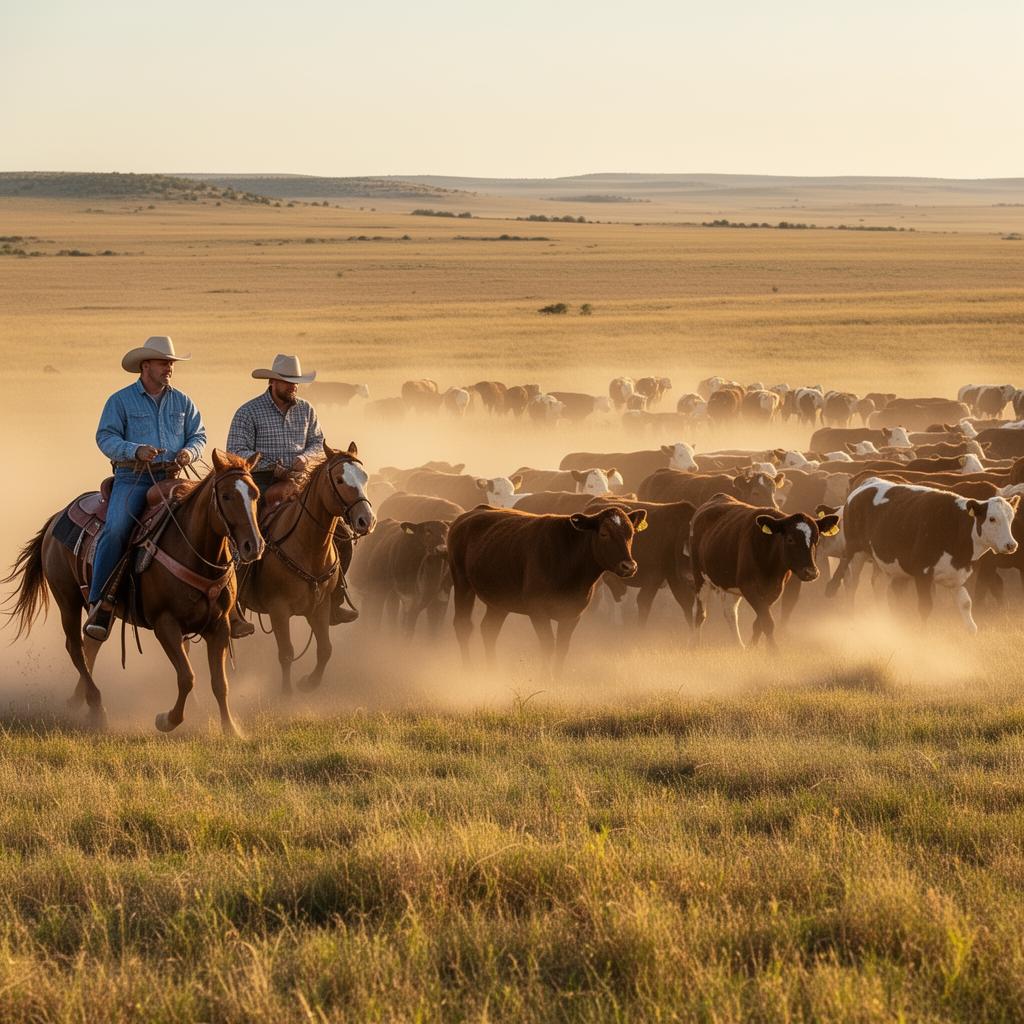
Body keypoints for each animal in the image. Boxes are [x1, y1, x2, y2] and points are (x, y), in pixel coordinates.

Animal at [448, 504, 647, 673]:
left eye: (631, 533)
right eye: (604, 533)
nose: (629, 566)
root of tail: (470, 513)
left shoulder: (573, 614)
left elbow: (562, 647)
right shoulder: (538, 611)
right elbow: (548, 645)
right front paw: (545, 678)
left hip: (499, 601)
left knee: (489, 629)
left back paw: (492, 671)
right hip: (462, 583)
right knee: (463, 625)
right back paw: (469, 670)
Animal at [690, 494, 839, 647]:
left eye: (816, 539)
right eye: (790, 539)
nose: (811, 572)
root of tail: (718, 496)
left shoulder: (775, 590)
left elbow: (760, 622)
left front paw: (752, 647)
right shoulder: (748, 587)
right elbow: (766, 621)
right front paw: (772, 650)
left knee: (730, 612)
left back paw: (739, 646)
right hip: (700, 577)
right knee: (699, 613)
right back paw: (695, 645)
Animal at [826, 477, 1020, 633]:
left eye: (1011, 518)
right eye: (992, 518)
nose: (1011, 545)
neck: (955, 526)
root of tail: (867, 484)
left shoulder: (955, 576)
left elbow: (966, 603)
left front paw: (971, 632)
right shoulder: (923, 574)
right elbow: (925, 607)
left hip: (881, 560)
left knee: (878, 585)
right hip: (855, 552)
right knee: (851, 584)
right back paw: (851, 615)